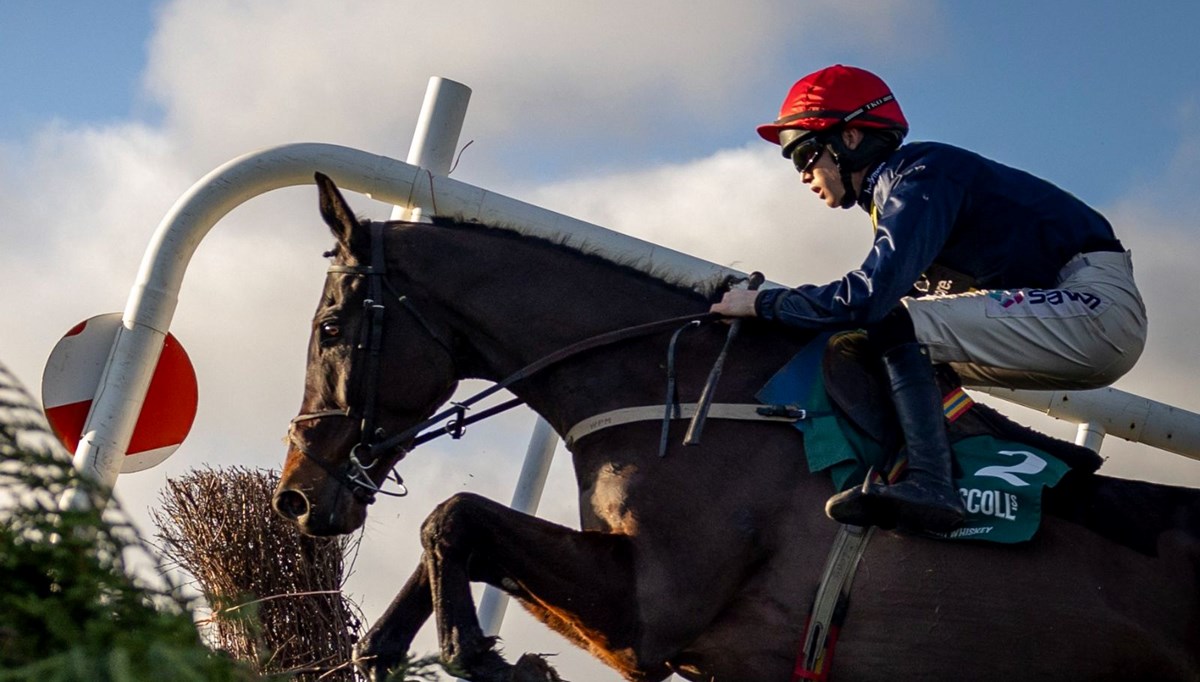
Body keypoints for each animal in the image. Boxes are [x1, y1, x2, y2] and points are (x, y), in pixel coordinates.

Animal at [274, 174, 1200, 682]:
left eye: (329, 328)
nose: (295, 496)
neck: (683, 397)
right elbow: (447, 545)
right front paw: (390, 648)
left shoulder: (649, 615)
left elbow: (454, 516)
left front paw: (490, 659)